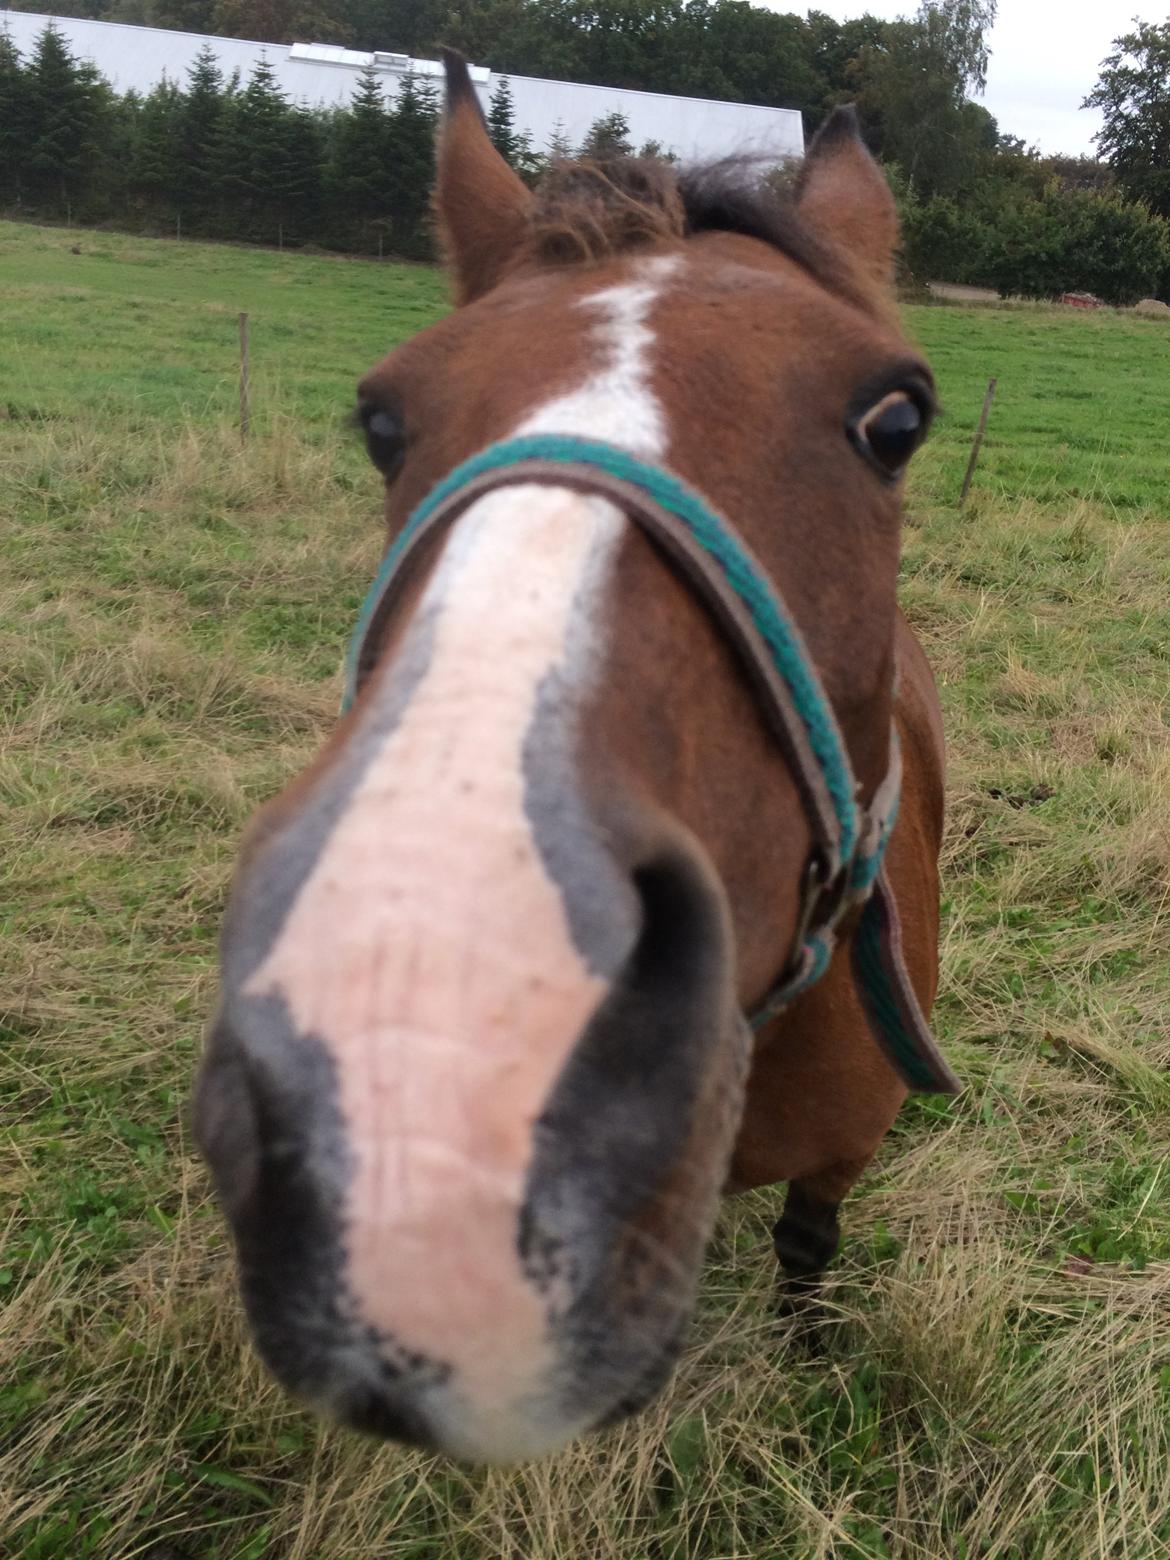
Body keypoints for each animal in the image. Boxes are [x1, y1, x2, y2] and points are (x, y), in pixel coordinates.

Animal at [195, 51, 960, 1460]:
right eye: (382, 421)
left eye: (897, 420)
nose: (437, 1012)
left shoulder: (843, 1156)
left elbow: (810, 1250)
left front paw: (811, 1362)